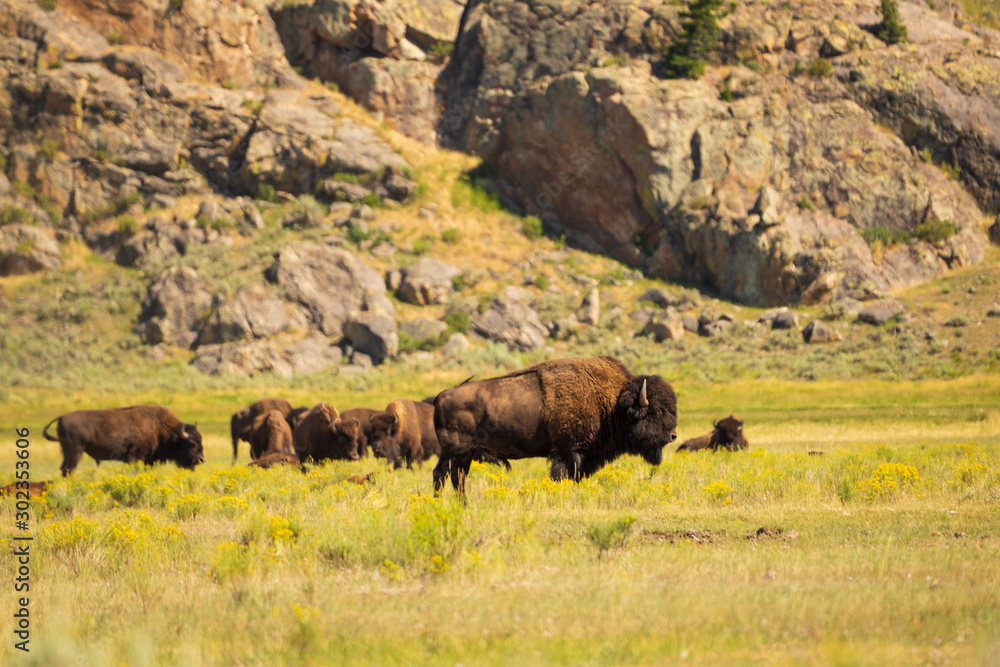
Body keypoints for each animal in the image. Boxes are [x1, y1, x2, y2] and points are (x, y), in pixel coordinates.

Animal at [43, 405, 205, 476]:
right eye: (191, 443)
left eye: (201, 441)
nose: (201, 459)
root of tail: (62, 417)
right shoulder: (135, 456)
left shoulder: (149, 459)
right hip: (75, 451)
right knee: (69, 469)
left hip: (66, 451)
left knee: (64, 469)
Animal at [433, 356, 678, 494]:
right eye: (656, 412)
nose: (673, 436)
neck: (612, 403)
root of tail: (440, 397)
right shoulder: (569, 452)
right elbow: (562, 476)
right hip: (456, 451)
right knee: (445, 475)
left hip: (462, 454)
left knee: (453, 477)